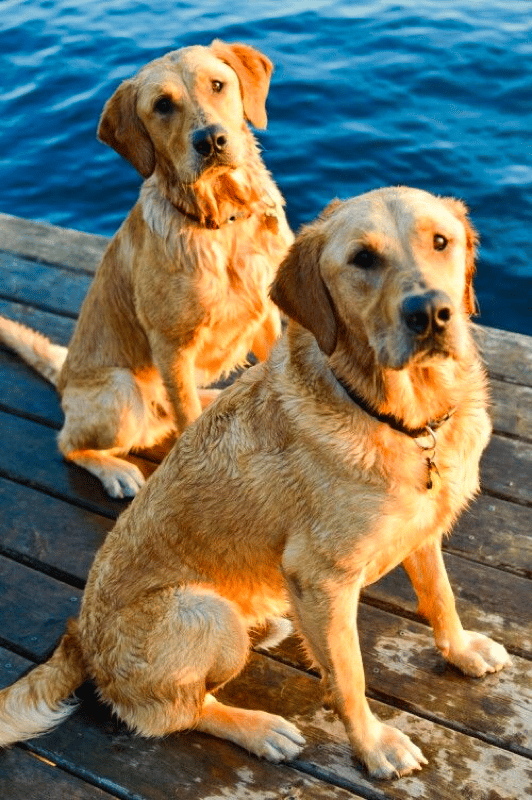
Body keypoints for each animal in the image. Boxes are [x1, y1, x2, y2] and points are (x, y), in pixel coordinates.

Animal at [0, 42, 290, 500]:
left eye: (218, 85)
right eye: (162, 105)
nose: (211, 141)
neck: (222, 219)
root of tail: (63, 378)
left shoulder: (266, 319)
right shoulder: (172, 347)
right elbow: (186, 420)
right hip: (122, 392)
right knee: (69, 443)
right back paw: (116, 470)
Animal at [0, 186, 512, 776]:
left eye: (441, 242)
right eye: (362, 259)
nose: (430, 312)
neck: (406, 417)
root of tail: (78, 637)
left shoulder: (423, 533)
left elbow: (441, 598)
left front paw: (462, 650)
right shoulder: (322, 578)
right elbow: (350, 677)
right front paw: (373, 745)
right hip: (203, 611)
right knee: (175, 712)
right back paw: (260, 728)